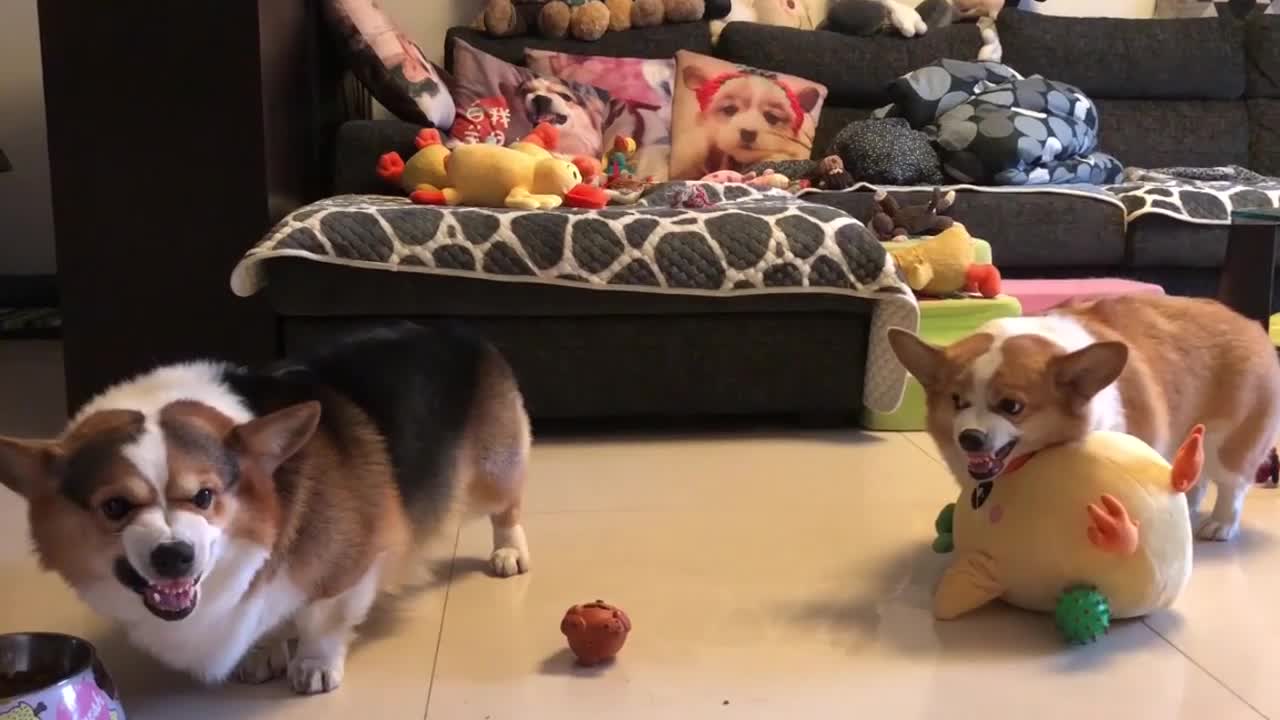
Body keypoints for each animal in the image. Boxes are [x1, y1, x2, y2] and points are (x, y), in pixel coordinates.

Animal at [0, 324, 529, 691]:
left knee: (508, 507)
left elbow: (323, 618)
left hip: (488, 476)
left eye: (205, 496)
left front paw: (313, 665)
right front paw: (262, 653)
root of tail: (461, 333)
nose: (174, 556)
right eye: (114, 506)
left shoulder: (349, 565)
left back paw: (508, 553)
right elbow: (262, 612)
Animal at [890, 295, 1280, 538]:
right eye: (957, 401)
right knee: (1197, 476)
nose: (969, 439)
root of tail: (1251, 323)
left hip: (1229, 444)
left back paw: (1220, 525)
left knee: (1232, 483)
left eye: (1012, 406)